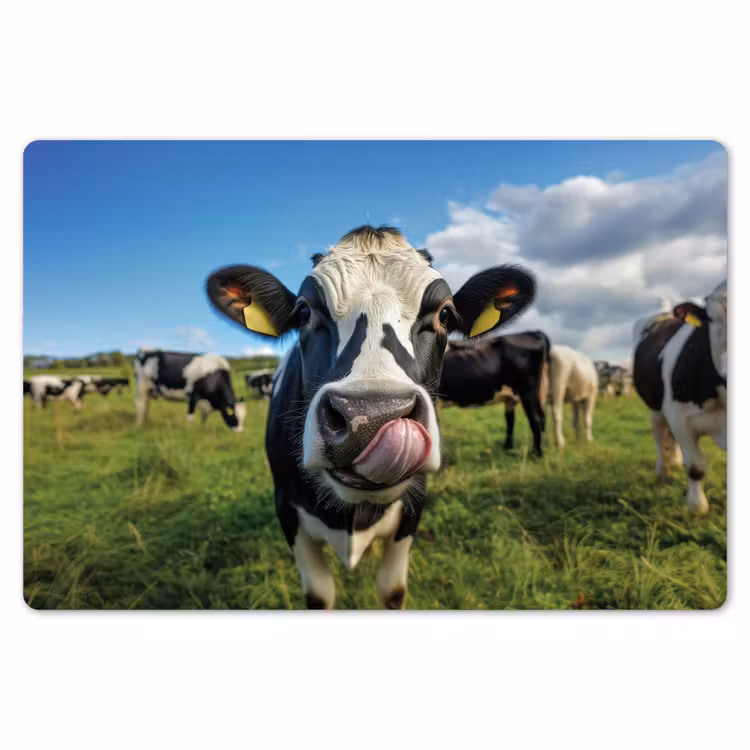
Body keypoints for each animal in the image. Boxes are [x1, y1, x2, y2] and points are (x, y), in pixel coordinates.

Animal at [205, 225, 536, 609]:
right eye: (303, 313)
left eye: (445, 314)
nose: (371, 418)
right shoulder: (287, 510)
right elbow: (319, 595)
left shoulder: (413, 508)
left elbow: (392, 590)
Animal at [632, 280, 727, 514]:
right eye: (712, 318)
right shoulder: (680, 418)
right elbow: (695, 466)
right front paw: (696, 508)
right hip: (656, 406)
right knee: (659, 432)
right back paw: (663, 470)